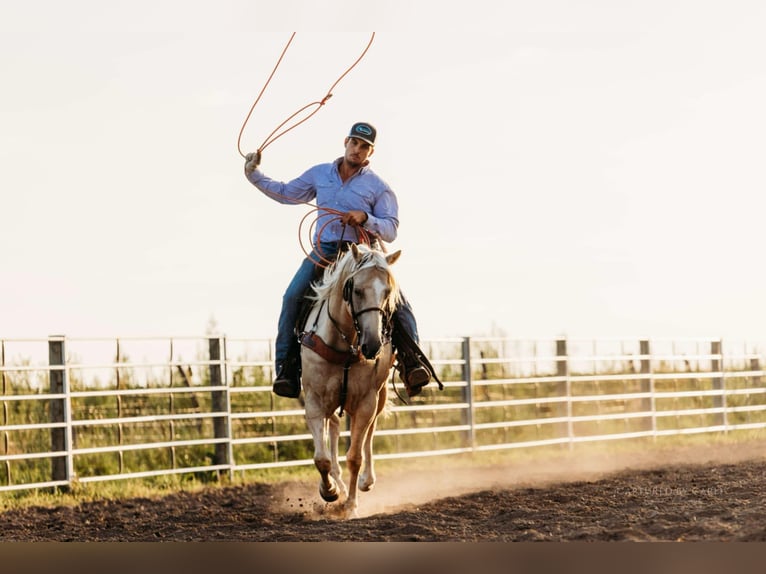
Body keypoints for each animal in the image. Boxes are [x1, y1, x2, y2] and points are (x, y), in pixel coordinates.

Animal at [298, 243, 402, 520]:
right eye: (356, 290)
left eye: (387, 292)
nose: (373, 345)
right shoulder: (314, 401)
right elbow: (321, 458)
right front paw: (330, 492)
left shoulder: (367, 402)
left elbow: (355, 456)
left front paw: (351, 505)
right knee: (333, 428)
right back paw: (338, 483)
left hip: (380, 395)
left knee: (369, 434)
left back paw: (366, 480)